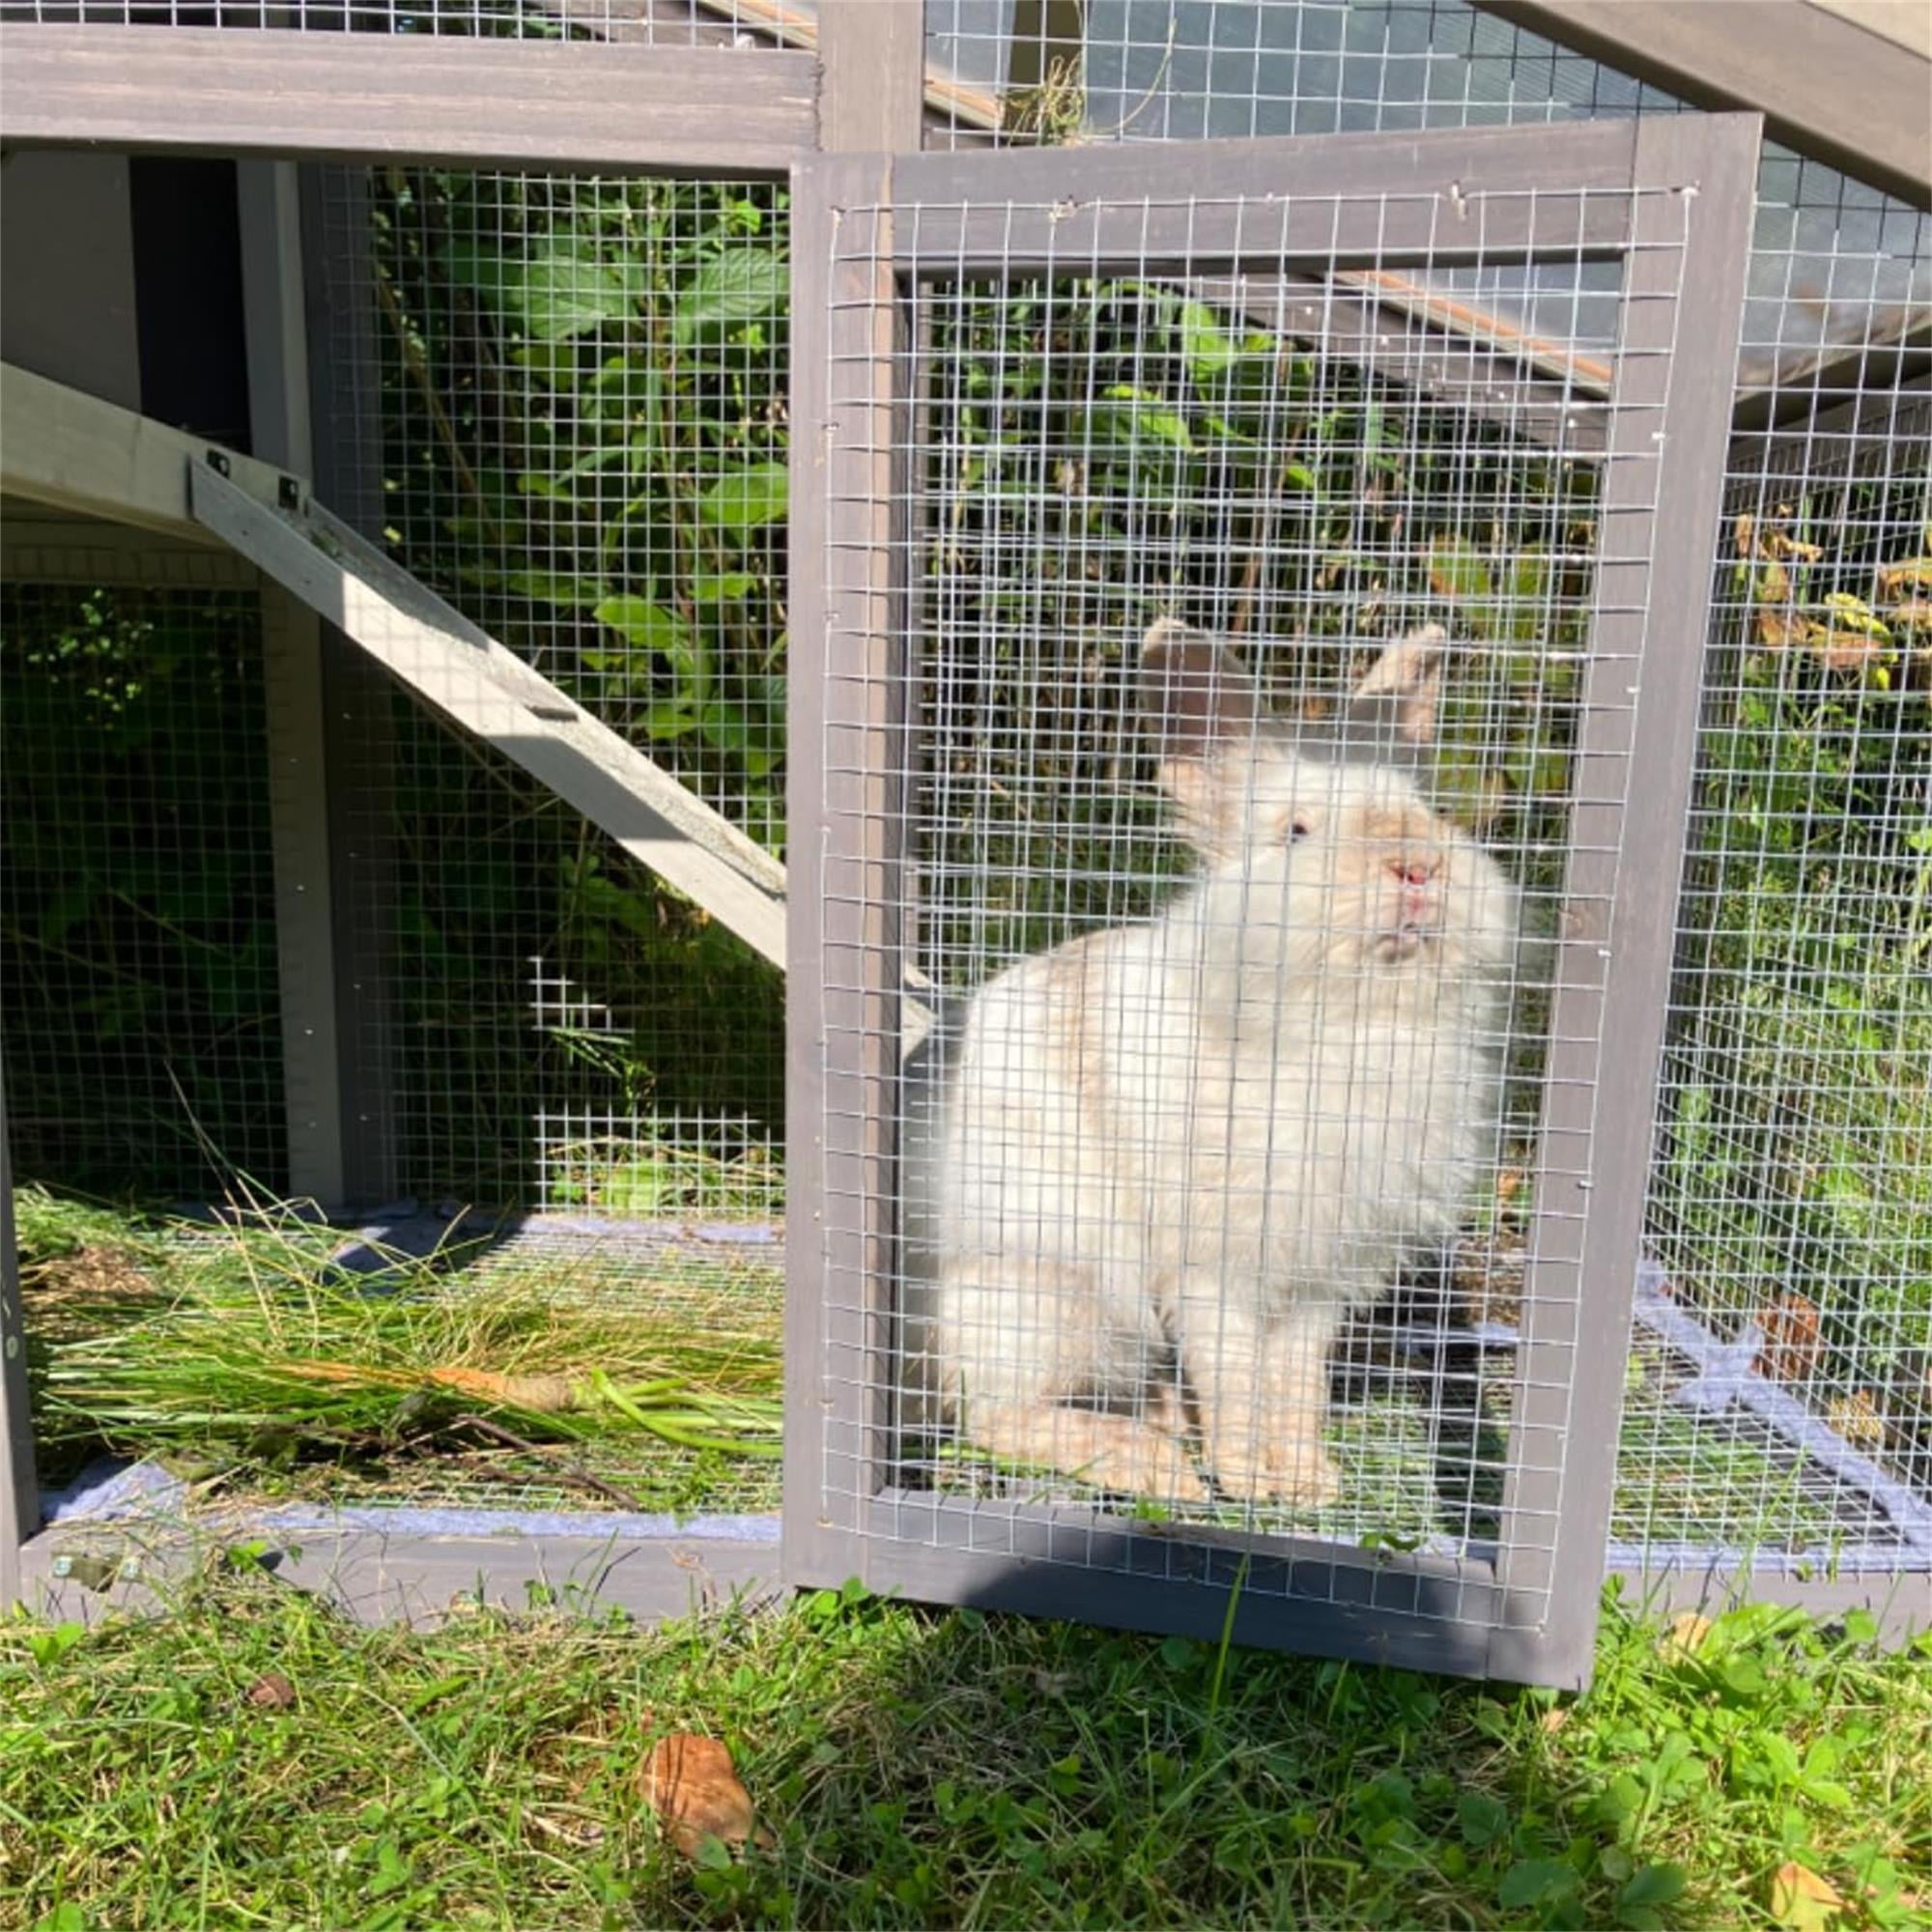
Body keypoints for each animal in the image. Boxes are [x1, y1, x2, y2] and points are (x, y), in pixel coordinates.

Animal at [923, 618, 1521, 1510]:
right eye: (1296, 832)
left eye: (1425, 809)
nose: (1419, 868)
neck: (1357, 1021)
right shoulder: (1216, 1269)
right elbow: (1236, 1375)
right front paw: (1247, 1480)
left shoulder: (1320, 1280)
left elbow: (1296, 1382)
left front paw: (1308, 1480)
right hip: (1044, 1293)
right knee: (994, 1415)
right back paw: (1156, 1465)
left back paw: (1169, 1423)